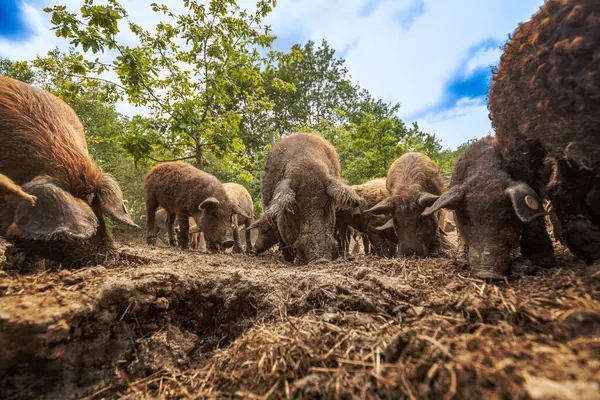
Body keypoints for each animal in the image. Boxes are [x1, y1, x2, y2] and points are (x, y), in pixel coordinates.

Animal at [490, 0, 600, 262]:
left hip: (568, 138)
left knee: (560, 189)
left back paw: (588, 245)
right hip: (520, 135)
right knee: (529, 187)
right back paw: (541, 253)